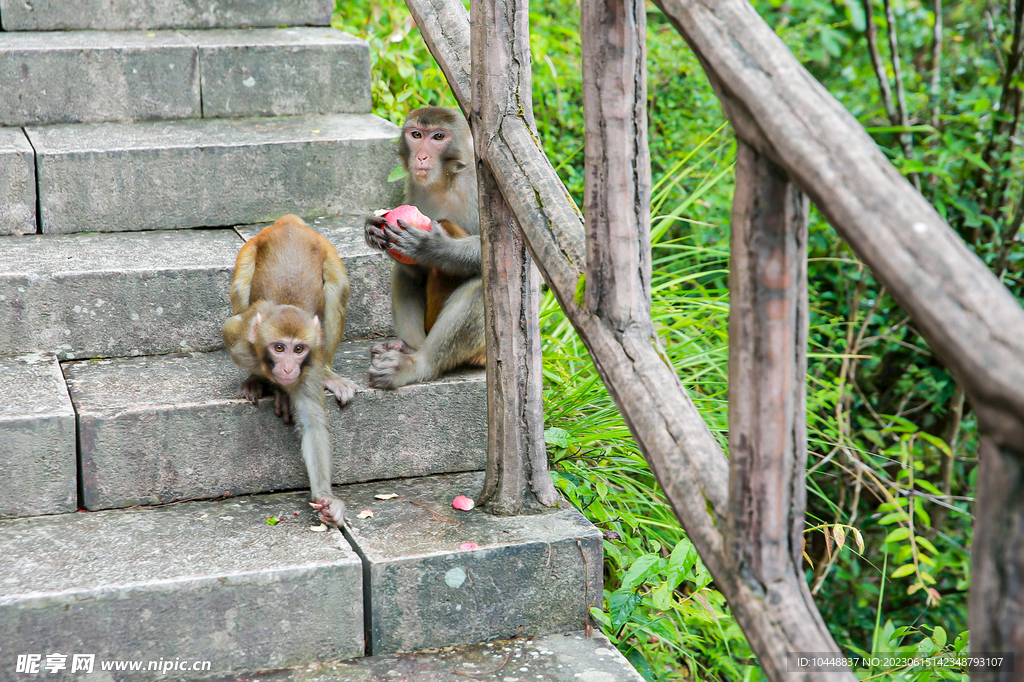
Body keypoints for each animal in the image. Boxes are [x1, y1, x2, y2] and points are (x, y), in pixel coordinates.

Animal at [222, 214, 354, 524]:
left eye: (299, 350)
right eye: (279, 348)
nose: (288, 369)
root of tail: (288, 222)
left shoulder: (310, 364)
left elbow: (312, 423)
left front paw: (327, 499)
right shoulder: (239, 338)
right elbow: (233, 331)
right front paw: (268, 384)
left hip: (326, 248)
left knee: (338, 287)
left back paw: (329, 376)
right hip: (251, 249)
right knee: (240, 285)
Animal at [362, 104, 485, 387]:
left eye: (438, 137)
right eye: (416, 135)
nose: (421, 157)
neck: (446, 181)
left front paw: (430, 248)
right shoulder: (413, 187)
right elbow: (411, 267)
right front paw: (372, 231)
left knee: (481, 285)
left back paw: (417, 365)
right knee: (404, 273)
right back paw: (410, 348)